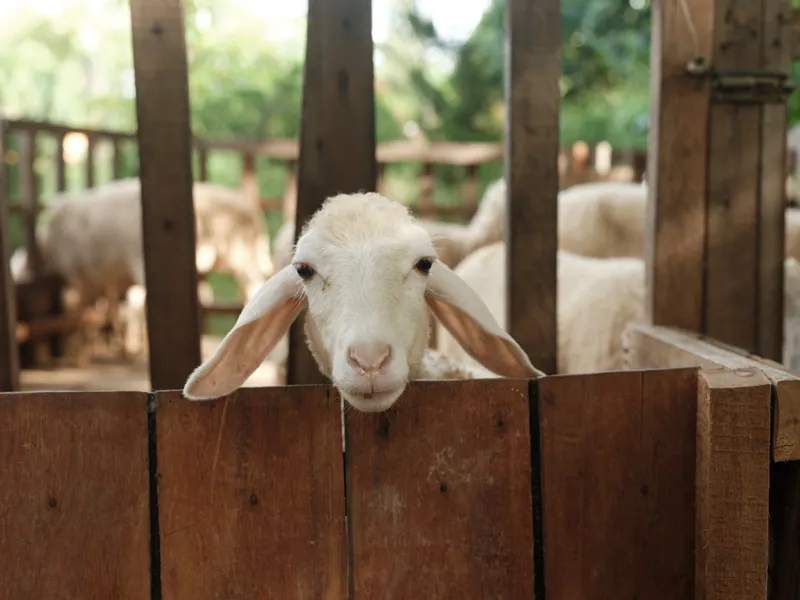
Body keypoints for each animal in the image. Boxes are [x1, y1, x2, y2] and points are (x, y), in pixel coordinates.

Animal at [10, 178, 273, 359]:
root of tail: (251, 210)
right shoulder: (112, 279)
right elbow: (113, 309)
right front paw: (117, 345)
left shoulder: (83, 278)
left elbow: (82, 311)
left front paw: (81, 349)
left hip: (239, 256)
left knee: (252, 286)